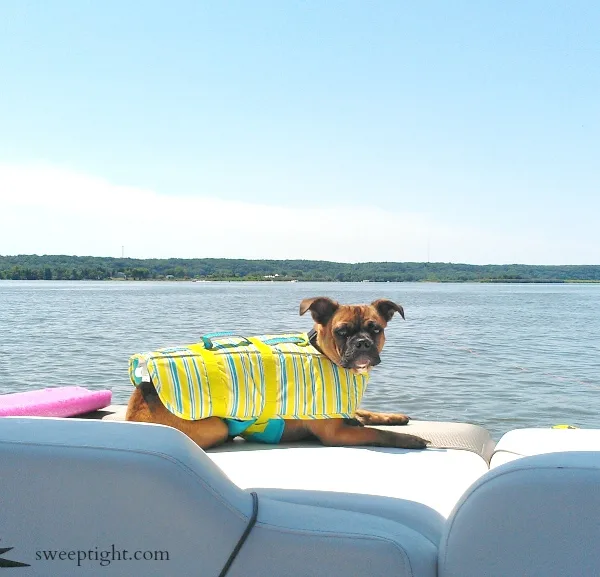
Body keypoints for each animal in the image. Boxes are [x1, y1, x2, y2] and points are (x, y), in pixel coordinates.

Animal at [125, 296, 426, 450]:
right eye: (342, 332)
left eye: (376, 329)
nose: (362, 343)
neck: (323, 353)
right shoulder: (337, 433)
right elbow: (377, 433)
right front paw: (410, 439)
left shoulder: (346, 412)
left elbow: (367, 414)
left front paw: (394, 417)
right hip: (217, 426)